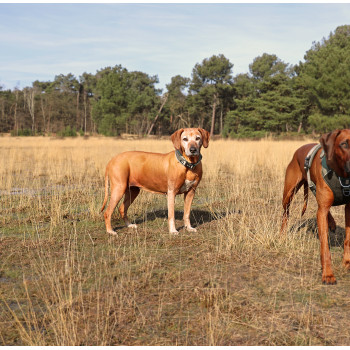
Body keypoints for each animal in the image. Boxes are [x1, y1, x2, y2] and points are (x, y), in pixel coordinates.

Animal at [282, 129, 350, 284]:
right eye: (344, 144)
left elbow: (348, 240)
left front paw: (347, 264)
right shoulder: (322, 209)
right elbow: (324, 246)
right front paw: (328, 274)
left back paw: (331, 222)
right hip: (288, 193)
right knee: (285, 213)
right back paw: (281, 235)